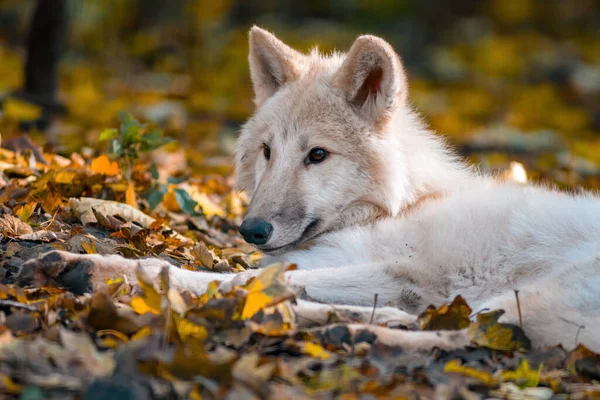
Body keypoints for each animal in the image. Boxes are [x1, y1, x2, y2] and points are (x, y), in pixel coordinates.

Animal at [22, 27, 600, 350]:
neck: (398, 204)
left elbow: (223, 278)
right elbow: (248, 279)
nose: (252, 230)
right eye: (267, 152)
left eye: (317, 155)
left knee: (478, 339)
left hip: (521, 299)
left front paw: (96, 268)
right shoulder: (379, 274)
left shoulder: (401, 269)